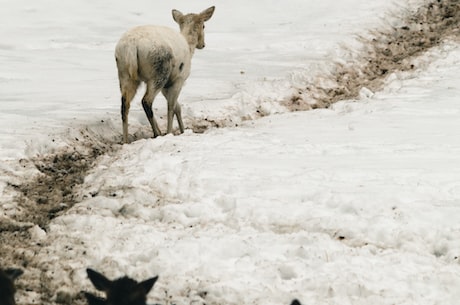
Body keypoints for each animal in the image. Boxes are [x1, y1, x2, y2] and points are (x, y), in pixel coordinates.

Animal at [115, 5, 216, 143]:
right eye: (204, 26)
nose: (203, 45)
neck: (189, 47)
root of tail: (131, 47)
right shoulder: (179, 79)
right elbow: (172, 107)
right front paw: (170, 132)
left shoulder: (167, 85)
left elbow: (177, 107)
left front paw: (182, 131)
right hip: (159, 72)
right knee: (146, 100)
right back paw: (157, 132)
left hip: (124, 74)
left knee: (125, 104)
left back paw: (126, 140)